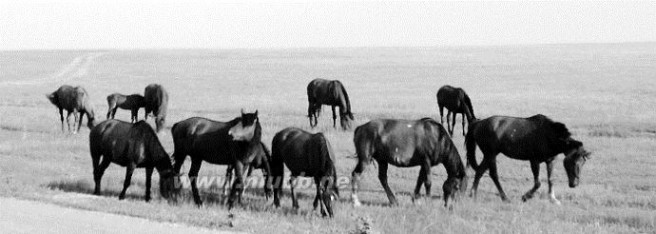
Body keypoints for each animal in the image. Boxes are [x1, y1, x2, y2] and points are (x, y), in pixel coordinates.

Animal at [464, 114, 592, 204]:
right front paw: (526, 196)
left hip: (490, 155)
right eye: (574, 162)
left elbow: (550, 180)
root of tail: (478, 123)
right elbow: (538, 183)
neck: (548, 135)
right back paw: (496, 196)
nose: (574, 184)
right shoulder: (534, 161)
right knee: (489, 173)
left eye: (583, 162)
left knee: (483, 172)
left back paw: (481, 195)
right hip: (490, 154)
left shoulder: (550, 161)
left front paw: (553, 199)